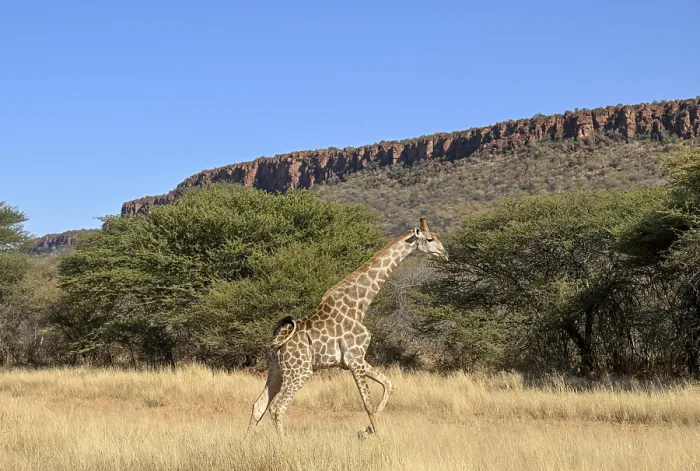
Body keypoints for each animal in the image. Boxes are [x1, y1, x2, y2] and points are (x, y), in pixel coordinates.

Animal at [244, 217, 448, 440]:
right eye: (430, 239)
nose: (445, 254)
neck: (360, 304)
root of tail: (277, 342)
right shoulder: (355, 358)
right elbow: (368, 404)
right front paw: (376, 436)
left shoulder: (356, 359)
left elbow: (389, 384)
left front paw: (366, 431)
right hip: (300, 371)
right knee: (277, 408)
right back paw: (284, 444)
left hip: (277, 371)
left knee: (258, 405)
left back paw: (246, 443)